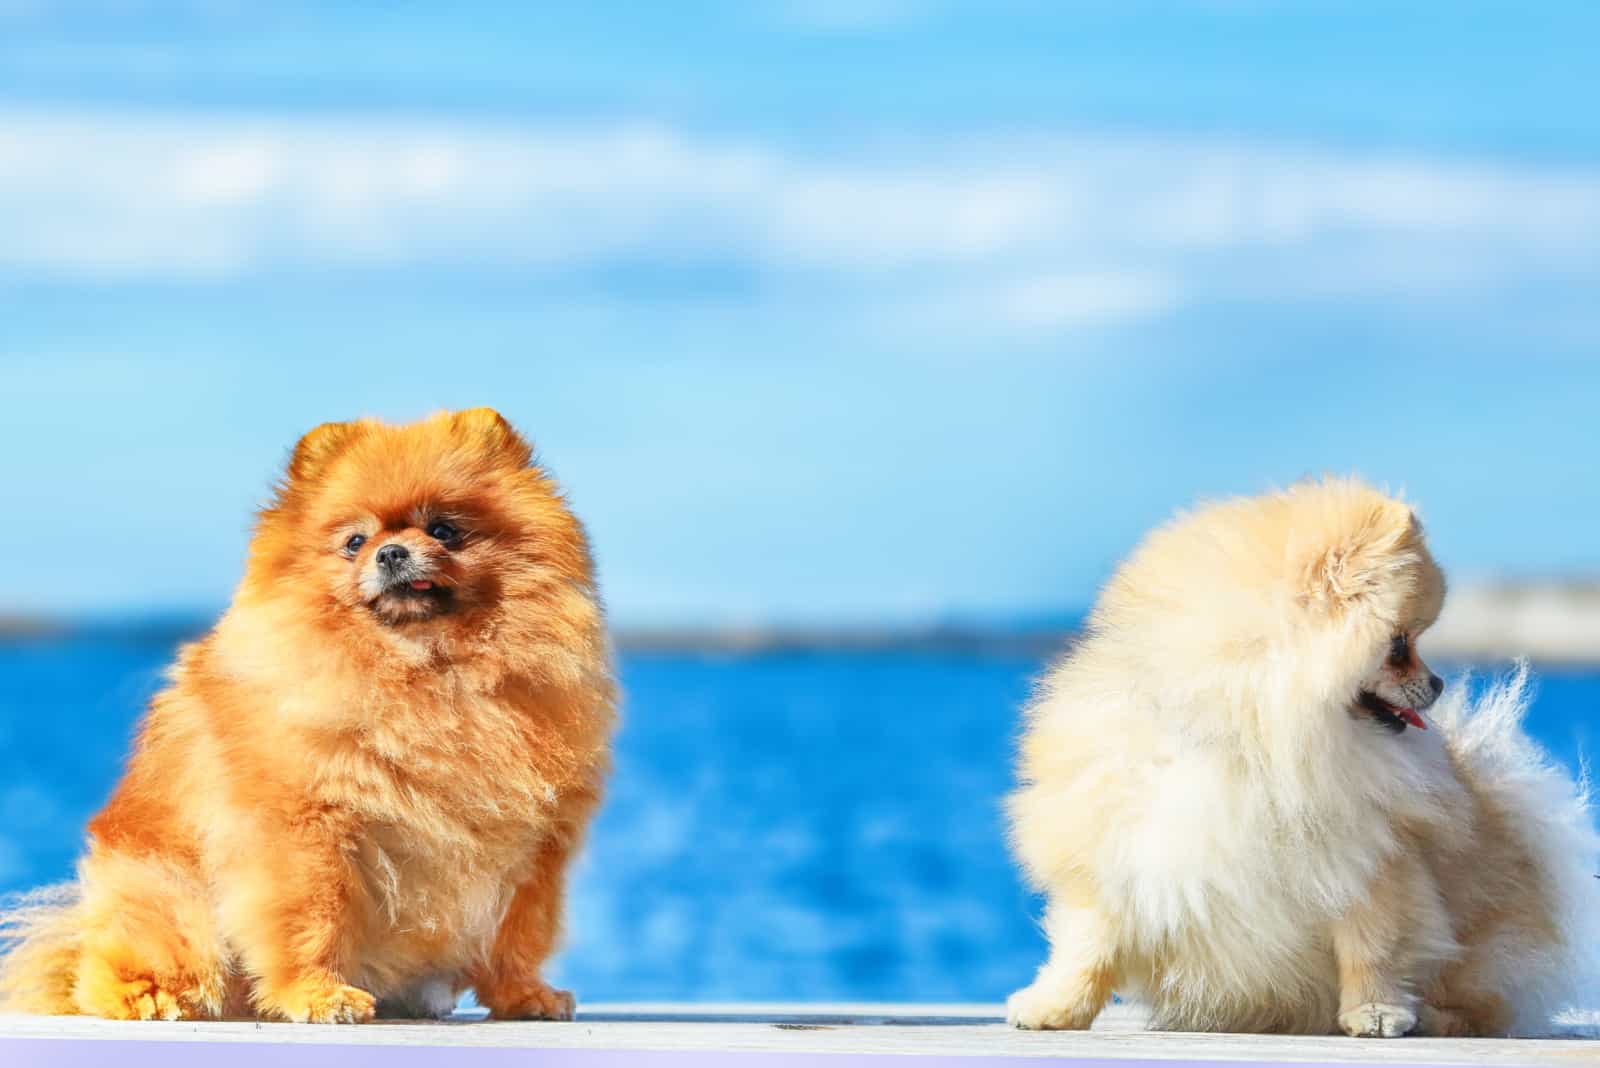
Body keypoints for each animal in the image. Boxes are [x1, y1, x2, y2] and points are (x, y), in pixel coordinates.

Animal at [0, 404, 614, 1023]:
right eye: (355, 541)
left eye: (443, 530)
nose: (391, 552)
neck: (430, 673)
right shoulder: (303, 829)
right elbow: (311, 918)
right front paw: (317, 994)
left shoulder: (535, 846)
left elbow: (518, 933)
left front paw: (523, 995)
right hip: (169, 899)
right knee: (111, 972)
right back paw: (155, 997)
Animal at [1004, 479, 1593, 1036]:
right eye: (1400, 646)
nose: (1439, 683)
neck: (1256, 740)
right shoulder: (1121, 839)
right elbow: (1088, 944)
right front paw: (1054, 1008)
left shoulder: (1373, 859)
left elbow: (1373, 946)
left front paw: (1375, 1011)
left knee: (1485, 1003)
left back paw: (1433, 1016)